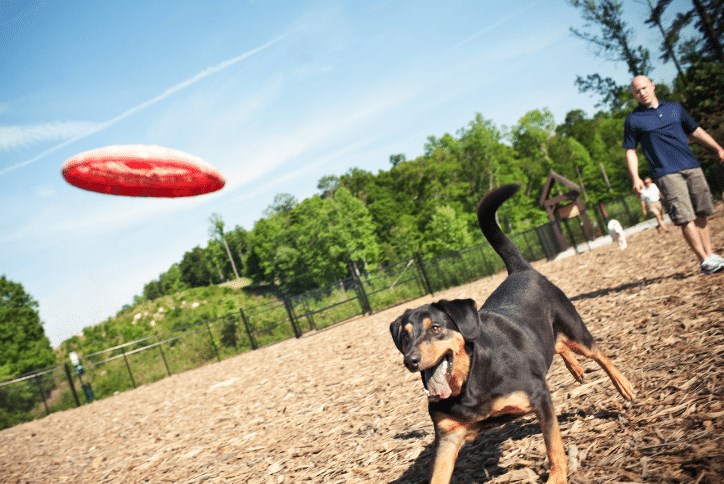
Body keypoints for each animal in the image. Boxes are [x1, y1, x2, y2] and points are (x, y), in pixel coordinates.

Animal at [390, 185, 632, 484]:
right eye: (405, 338)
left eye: (435, 328)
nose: (410, 360)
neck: (470, 380)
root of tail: (521, 270)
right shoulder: (448, 436)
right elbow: (438, 476)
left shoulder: (539, 397)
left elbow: (553, 446)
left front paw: (557, 477)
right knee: (556, 346)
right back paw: (575, 369)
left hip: (576, 330)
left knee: (599, 355)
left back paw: (624, 386)